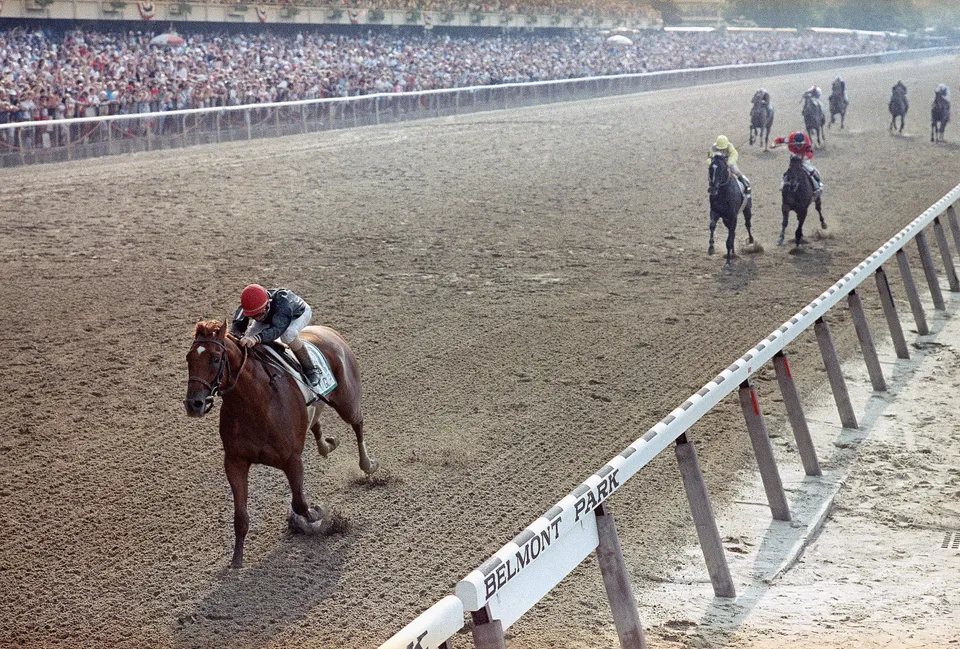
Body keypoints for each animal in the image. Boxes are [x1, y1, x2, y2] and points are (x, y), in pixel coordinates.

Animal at [184, 288, 378, 568]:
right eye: (189, 358)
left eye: (215, 358)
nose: (194, 404)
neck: (256, 402)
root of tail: (329, 332)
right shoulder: (235, 461)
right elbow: (240, 516)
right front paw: (236, 561)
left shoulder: (292, 460)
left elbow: (300, 504)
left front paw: (317, 516)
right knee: (316, 420)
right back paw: (327, 445)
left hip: (347, 400)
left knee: (357, 423)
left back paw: (367, 464)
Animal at [708, 135, 752, 268]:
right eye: (710, 169)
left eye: (721, 169)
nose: (713, 189)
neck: (723, 193)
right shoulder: (715, 212)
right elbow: (712, 225)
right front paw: (711, 248)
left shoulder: (732, 216)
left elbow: (729, 238)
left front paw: (728, 261)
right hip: (726, 219)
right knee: (733, 231)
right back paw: (733, 251)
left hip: (747, 210)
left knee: (747, 225)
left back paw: (751, 241)